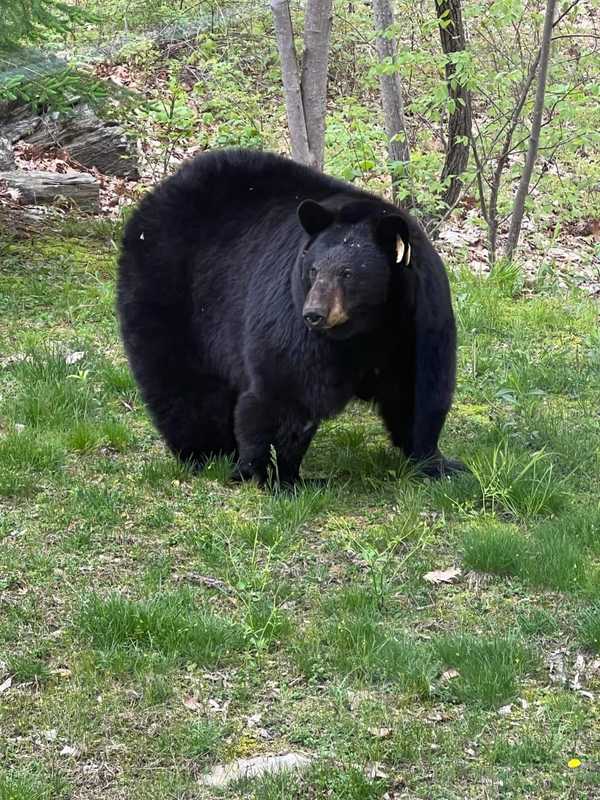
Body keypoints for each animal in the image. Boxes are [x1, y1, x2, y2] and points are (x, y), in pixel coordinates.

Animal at [117, 150, 464, 488]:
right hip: (170, 287)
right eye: (313, 269)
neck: (367, 327)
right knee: (182, 380)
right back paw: (207, 452)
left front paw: (437, 463)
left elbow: (418, 388)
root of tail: (158, 193)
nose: (314, 314)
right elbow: (286, 390)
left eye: (347, 273)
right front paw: (274, 475)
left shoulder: (418, 321)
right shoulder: (294, 321)